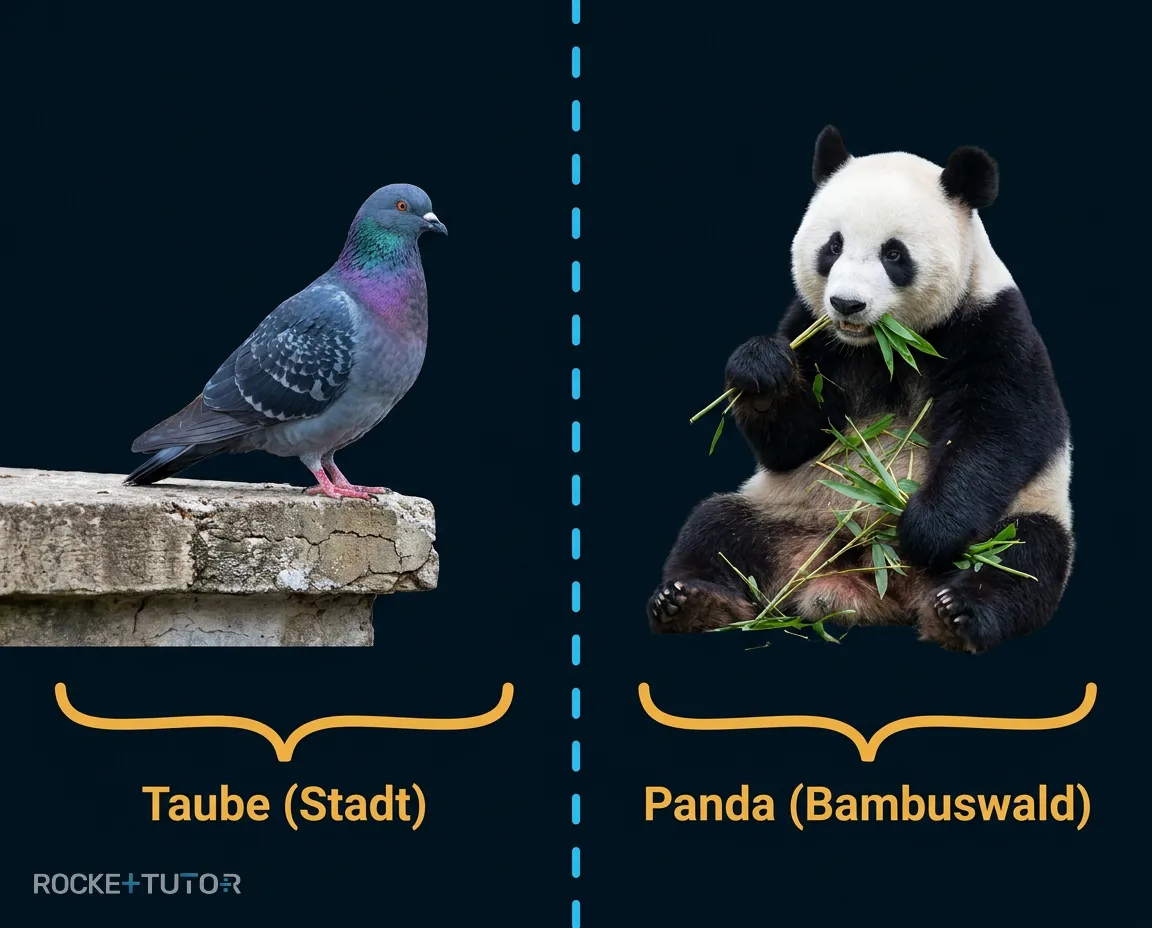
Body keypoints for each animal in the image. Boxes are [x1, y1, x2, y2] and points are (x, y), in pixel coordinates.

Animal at [648, 126, 1073, 654]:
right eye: (833, 246)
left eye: (894, 254)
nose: (846, 304)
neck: (882, 345)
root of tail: (866, 581)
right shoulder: (813, 333)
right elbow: (794, 443)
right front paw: (760, 370)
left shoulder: (992, 323)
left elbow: (1000, 427)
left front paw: (928, 529)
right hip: (785, 509)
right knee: (715, 528)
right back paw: (692, 603)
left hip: (1021, 515)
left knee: (1023, 558)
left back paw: (958, 613)